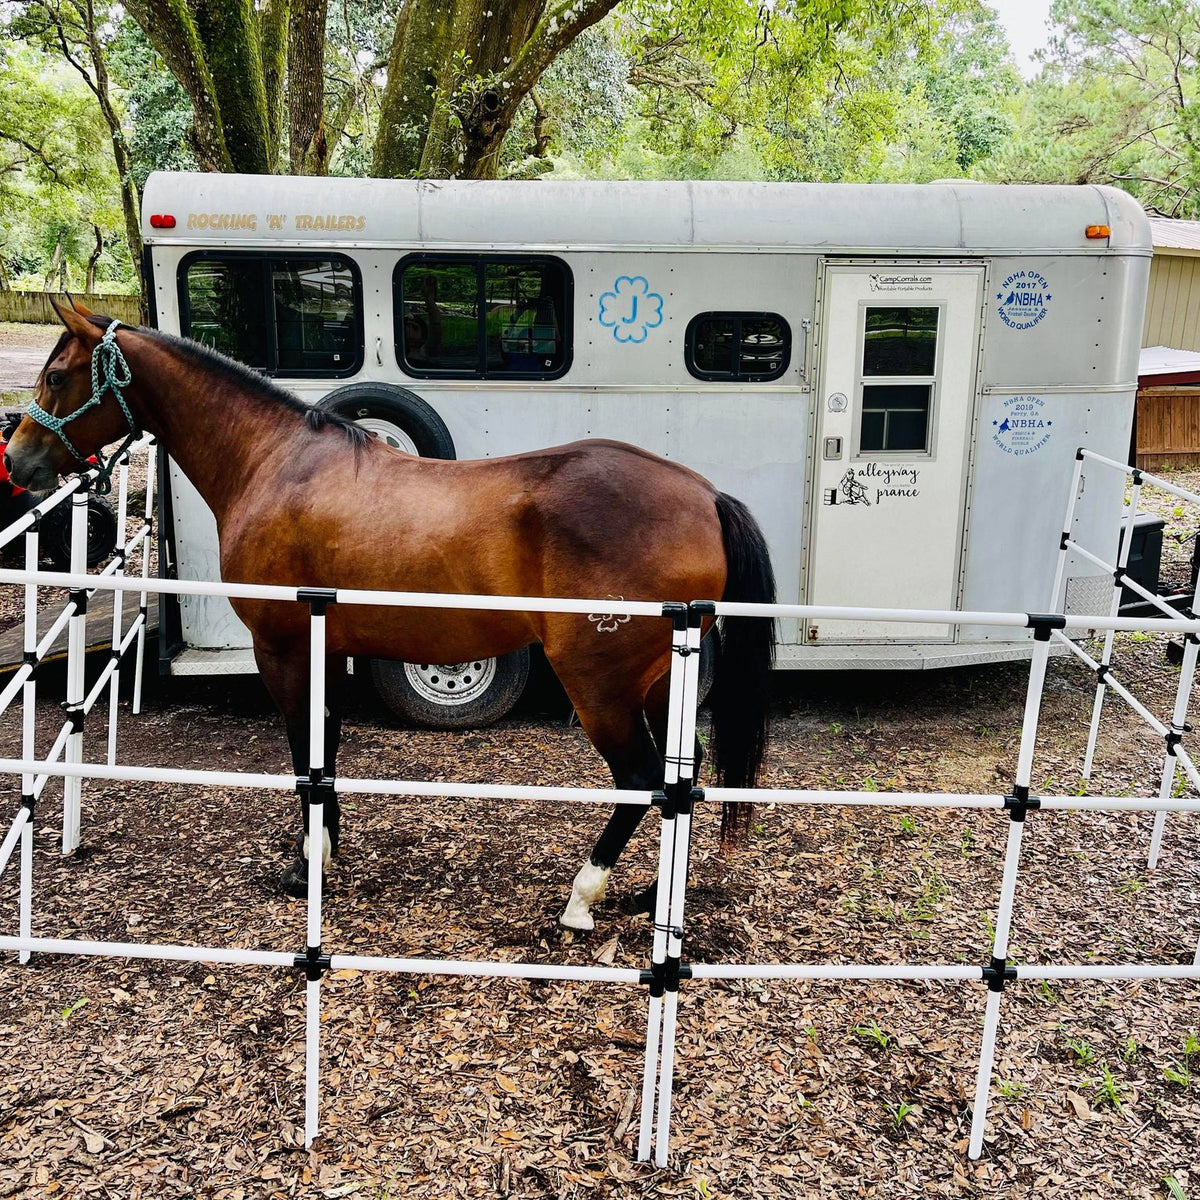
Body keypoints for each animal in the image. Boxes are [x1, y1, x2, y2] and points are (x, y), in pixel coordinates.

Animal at [5, 298, 777, 931]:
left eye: (56, 377)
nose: (19, 463)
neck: (273, 461)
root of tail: (704, 495)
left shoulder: (283, 650)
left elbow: (304, 753)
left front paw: (306, 865)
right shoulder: (325, 648)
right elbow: (326, 748)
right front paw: (324, 850)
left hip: (600, 685)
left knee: (640, 780)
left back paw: (581, 900)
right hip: (656, 683)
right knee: (680, 776)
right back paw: (654, 897)